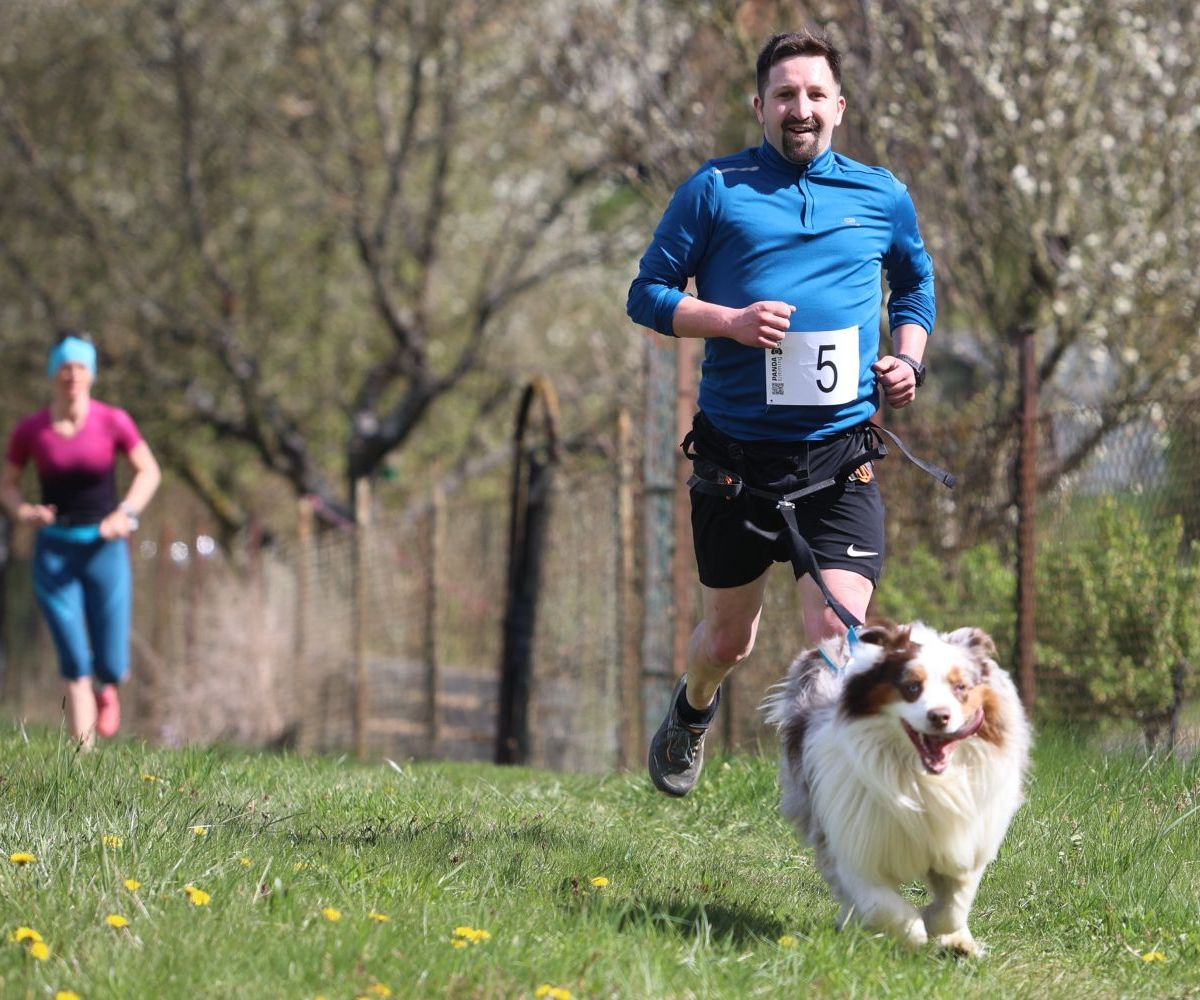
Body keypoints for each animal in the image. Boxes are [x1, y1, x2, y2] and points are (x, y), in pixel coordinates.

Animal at [762, 620, 1031, 955]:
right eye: (912, 687)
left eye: (961, 688)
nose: (940, 717)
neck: (920, 778)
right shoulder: (855, 843)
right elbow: (882, 904)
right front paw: (912, 931)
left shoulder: (965, 840)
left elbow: (955, 903)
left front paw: (945, 930)